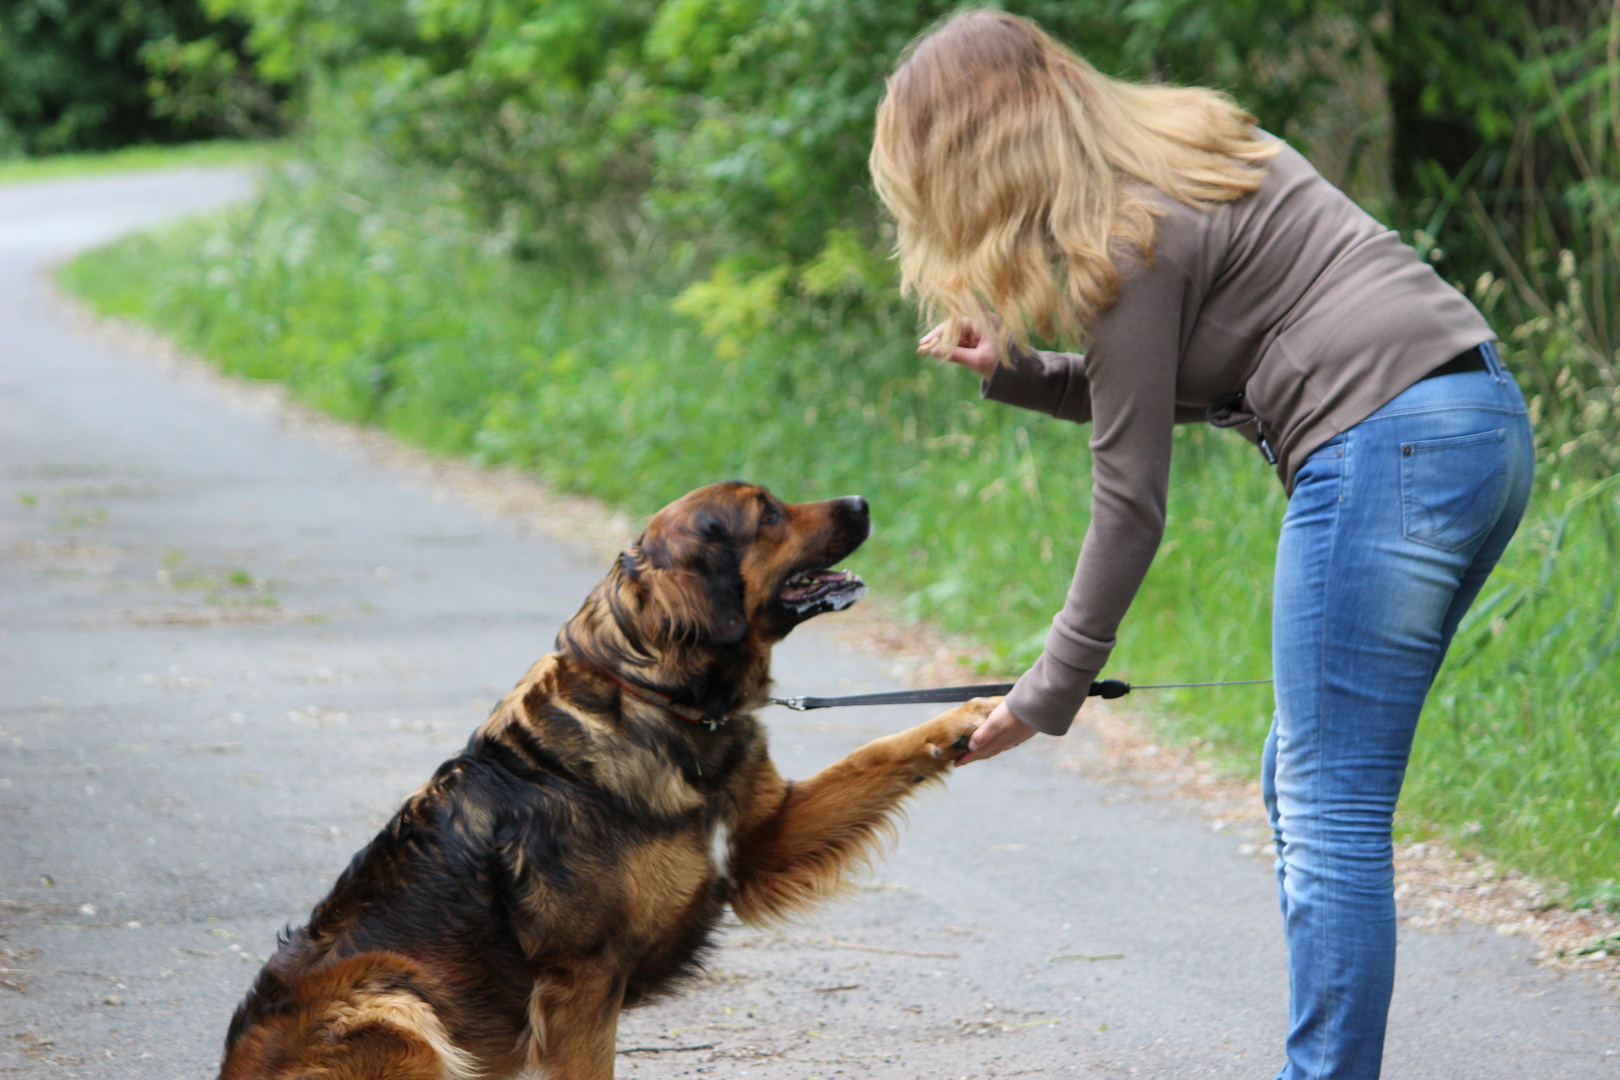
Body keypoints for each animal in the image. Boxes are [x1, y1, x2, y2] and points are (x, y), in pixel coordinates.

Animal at [221, 485, 991, 1080]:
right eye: (768, 512)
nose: (863, 502)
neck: (661, 701)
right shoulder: (582, 981)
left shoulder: (765, 841)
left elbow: (879, 752)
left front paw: (971, 714)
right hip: (396, 1003)